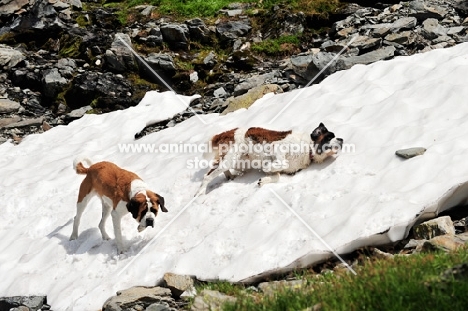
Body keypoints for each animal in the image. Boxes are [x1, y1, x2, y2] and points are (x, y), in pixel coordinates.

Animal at [195, 123, 344, 196]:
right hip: (230, 158)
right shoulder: (277, 147)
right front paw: (267, 167)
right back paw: (200, 193)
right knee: (208, 176)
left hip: (237, 161)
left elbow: (277, 176)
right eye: (329, 137)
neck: (308, 149)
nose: (342, 139)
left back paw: (229, 176)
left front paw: (263, 180)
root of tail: (228, 132)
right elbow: (280, 163)